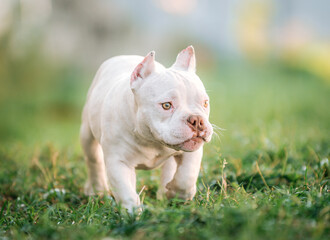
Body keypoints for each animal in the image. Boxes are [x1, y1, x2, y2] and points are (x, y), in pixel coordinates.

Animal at [81, 45, 213, 212]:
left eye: (205, 103)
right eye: (166, 105)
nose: (197, 121)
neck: (151, 139)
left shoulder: (192, 152)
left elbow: (186, 176)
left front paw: (176, 193)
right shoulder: (118, 162)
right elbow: (126, 193)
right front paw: (132, 214)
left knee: (170, 168)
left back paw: (165, 192)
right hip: (87, 134)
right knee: (93, 160)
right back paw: (97, 190)